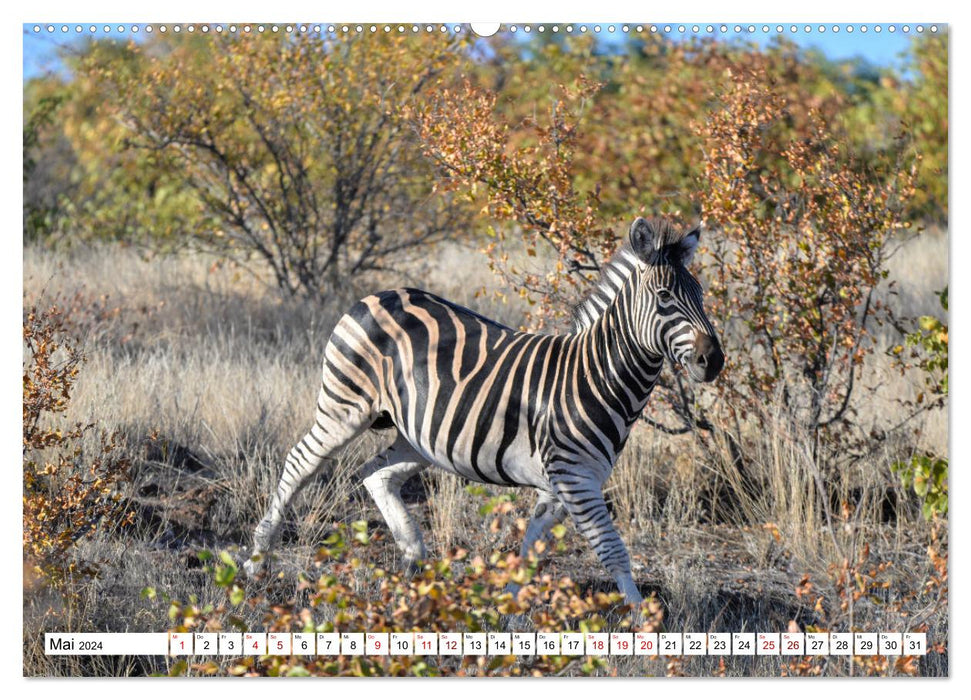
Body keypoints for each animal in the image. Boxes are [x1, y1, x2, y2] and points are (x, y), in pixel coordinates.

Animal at [247, 216, 724, 604]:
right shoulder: (575, 480)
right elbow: (613, 551)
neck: (597, 375)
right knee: (300, 463)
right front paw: (642, 623)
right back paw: (256, 560)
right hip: (344, 407)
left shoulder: (559, 486)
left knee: (374, 473)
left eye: (701, 295)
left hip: (418, 436)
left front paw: (507, 611)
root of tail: (375, 295)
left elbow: (531, 551)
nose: (714, 360)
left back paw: (413, 557)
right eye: (663, 296)